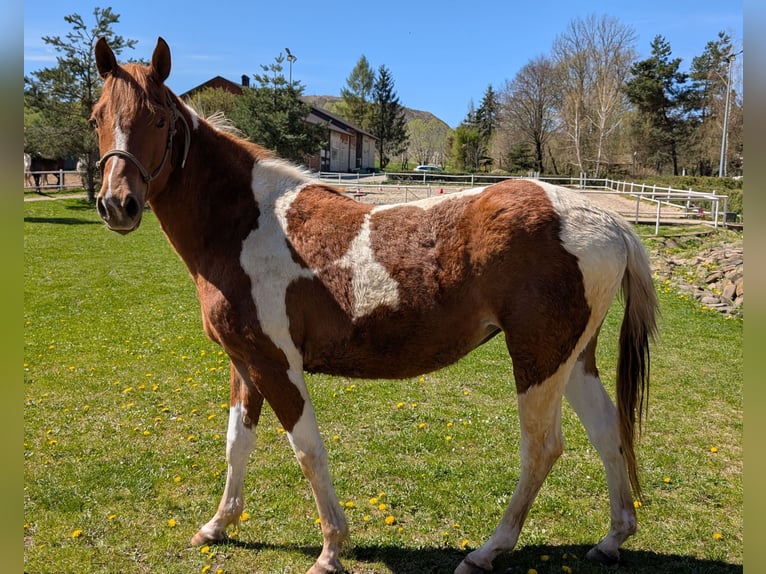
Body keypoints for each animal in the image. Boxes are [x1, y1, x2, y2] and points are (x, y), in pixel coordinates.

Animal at [92, 37, 658, 574]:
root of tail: (609, 221)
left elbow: (308, 451)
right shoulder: (246, 364)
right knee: (607, 432)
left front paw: (330, 550)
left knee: (541, 449)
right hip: (572, 359)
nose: (117, 205)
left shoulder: (277, 365)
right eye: (97, 117)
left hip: (538, 361)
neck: (245, 224)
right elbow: (237, 444)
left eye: (159, 118)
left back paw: (486, 552)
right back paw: (612, 539)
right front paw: (217, 526)